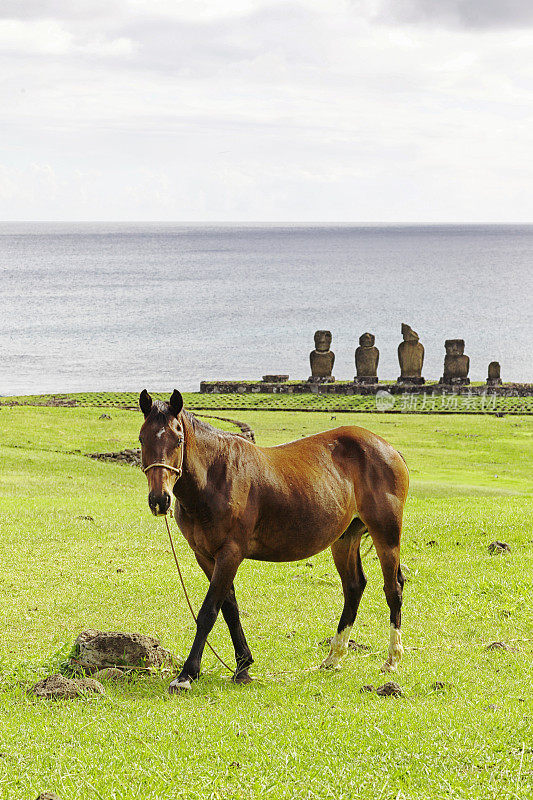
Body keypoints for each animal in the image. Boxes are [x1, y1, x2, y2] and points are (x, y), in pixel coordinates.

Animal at [137, 390, 408, 692]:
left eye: (178, 439)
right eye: (142, 439)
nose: (160, 500)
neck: (215, 478)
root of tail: (388, 449)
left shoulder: (230, 553)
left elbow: (209, 611)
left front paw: (187, 674)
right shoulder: (205, 555)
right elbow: (229, 607)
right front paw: (243, 666)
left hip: (386, 535)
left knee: (393, 589)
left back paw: (391, 660)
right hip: (344, 538)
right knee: (354, 587)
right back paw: (333, 657)